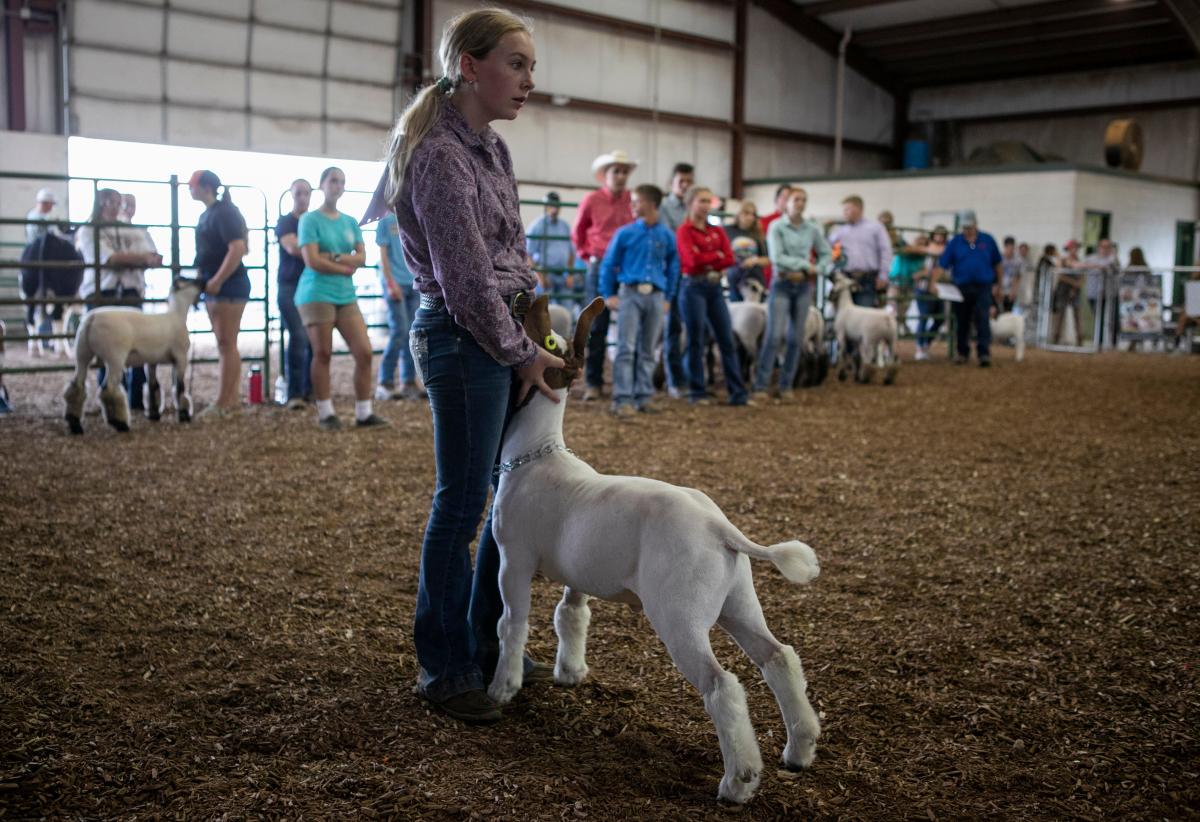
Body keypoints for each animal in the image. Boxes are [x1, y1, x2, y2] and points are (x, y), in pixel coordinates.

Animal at [62, 277, 198, 432]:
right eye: (191, 280)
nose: (203, 282)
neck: (176, 315)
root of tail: (92, 318)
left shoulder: (151, 360)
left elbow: (153, 386)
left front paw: (154, 414)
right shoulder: (181, 357)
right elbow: (180, 388)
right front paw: (184, 415)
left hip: (82, 353)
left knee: (77, 385)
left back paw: (75, 423)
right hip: (115, 357)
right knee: (108, 389)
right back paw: (119, 423)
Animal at [492, 295, 820, 801]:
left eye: (540, 336)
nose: (519, 296)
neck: (537, 453)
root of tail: (719, 528)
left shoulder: (513, 560)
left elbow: (512, 622)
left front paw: (503, 688)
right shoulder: (577, 573)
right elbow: (571, 615)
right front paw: (570, 673)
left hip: (678, 614)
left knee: (722, 686)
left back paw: (738, 782)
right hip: (738, 602)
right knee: (778, 657)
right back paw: (798, 751)